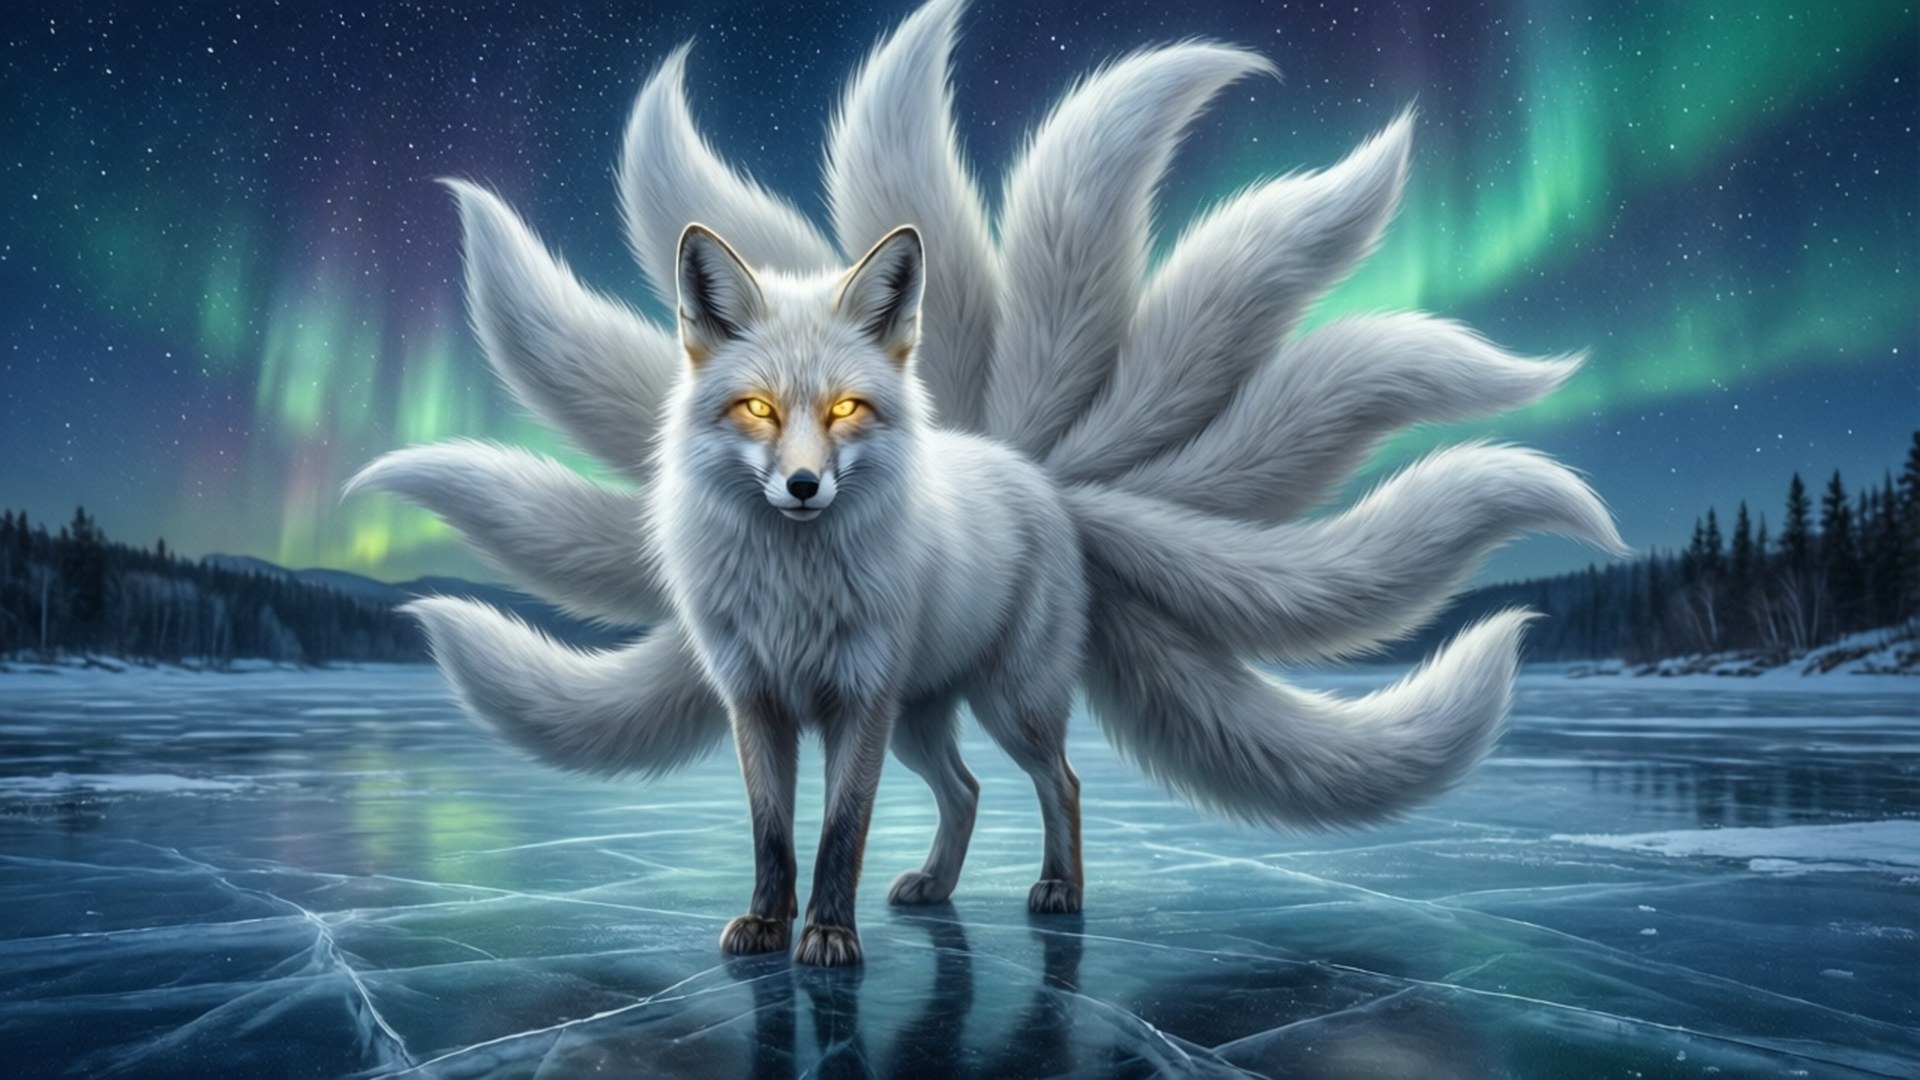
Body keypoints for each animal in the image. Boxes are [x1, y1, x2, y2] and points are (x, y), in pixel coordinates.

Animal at [349, 0, 1624, 968]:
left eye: (846, 409)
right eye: (756, 409)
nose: (802, 488)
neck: (796, 588)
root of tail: (1038, 474)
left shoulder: (854, 700)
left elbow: (838, 834)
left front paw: (827, 942)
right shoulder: (759, 699)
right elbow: (772, 834)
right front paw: (768, 928)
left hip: (997, 701)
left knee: (1061, 782)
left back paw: (1058, 893)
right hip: (926, 715)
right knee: (963, 793)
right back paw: (938, 886)